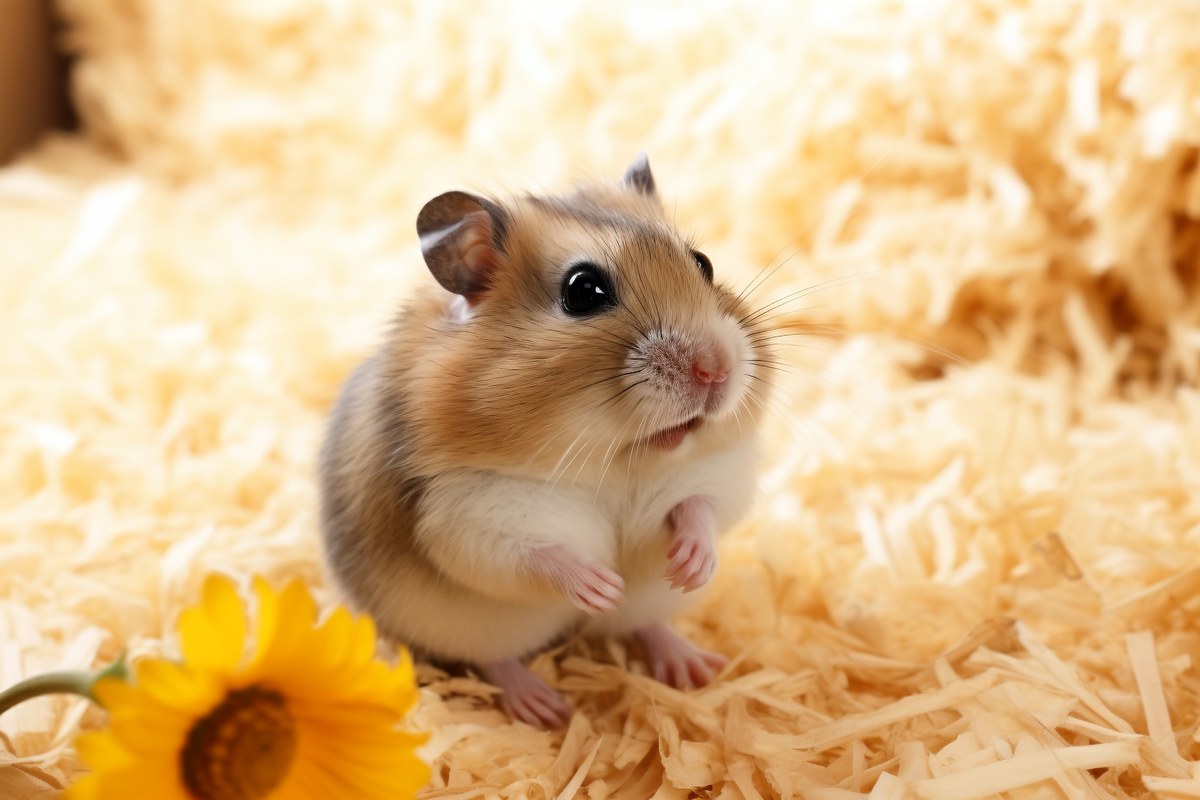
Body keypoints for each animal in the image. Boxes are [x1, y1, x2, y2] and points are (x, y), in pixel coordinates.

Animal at [318, 156, 773, 728]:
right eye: (583, 291)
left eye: (704, 263)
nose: (716, 370)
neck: (617, 457)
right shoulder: (469, 514)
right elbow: (536, 556)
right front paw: (601, 586)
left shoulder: (716, 471)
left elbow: (701, 509)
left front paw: (691, 567)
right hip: (469, 626)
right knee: (495, 660)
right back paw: (544, 706)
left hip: (651, 602)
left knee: (645, 624)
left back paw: (693, 667)